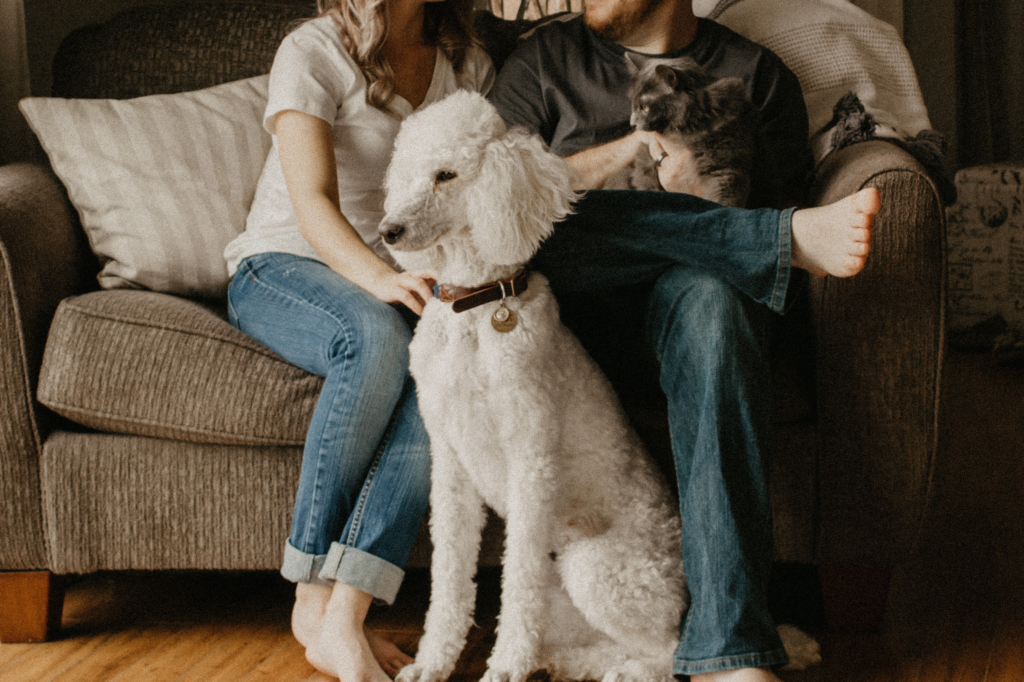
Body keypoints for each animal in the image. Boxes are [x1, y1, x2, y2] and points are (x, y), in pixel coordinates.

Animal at [380, 89, 819, 679]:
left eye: (446, 175)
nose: (388, 231)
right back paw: (561, 660)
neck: (475, 309)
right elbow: (449, 577)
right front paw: (434, 662)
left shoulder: (531, 460)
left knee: (667, 654)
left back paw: (604, 667)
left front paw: (506, 667)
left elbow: (518, 583)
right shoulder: (449, 463)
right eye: (405, 173)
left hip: (596, 566)